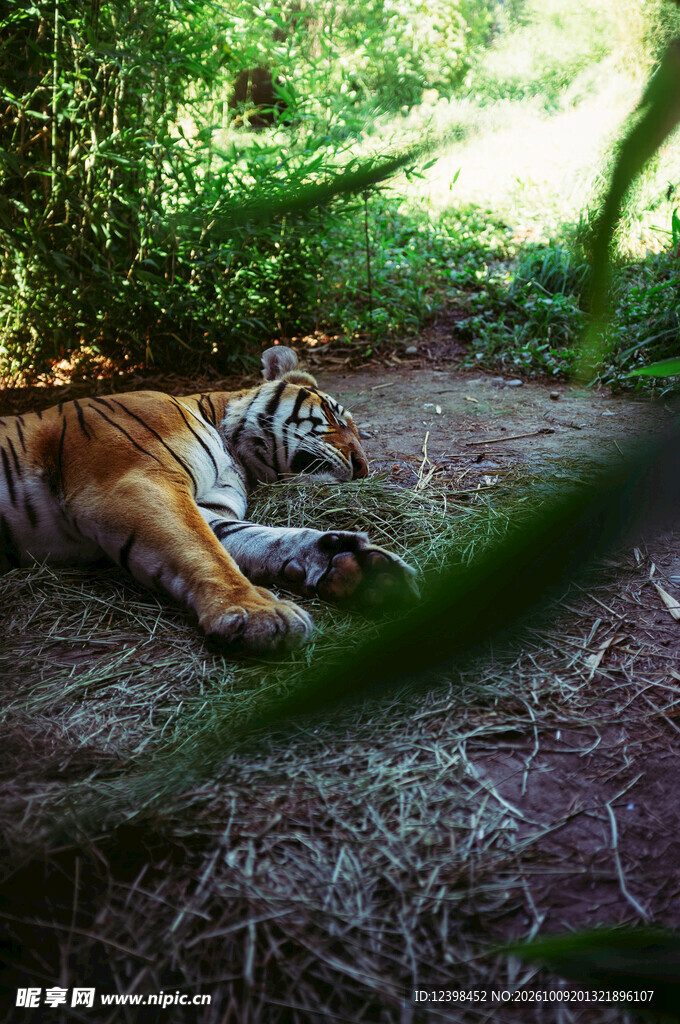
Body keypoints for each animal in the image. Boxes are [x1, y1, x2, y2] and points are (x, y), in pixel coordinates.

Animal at [0, 346, 418, 652]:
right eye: (335, 416)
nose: (363, 468)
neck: (237, 457)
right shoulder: (133, 480)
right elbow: (204, 552)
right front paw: (258, 611)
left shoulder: (209, 508)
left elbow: (259, 539)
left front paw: (355, 567)